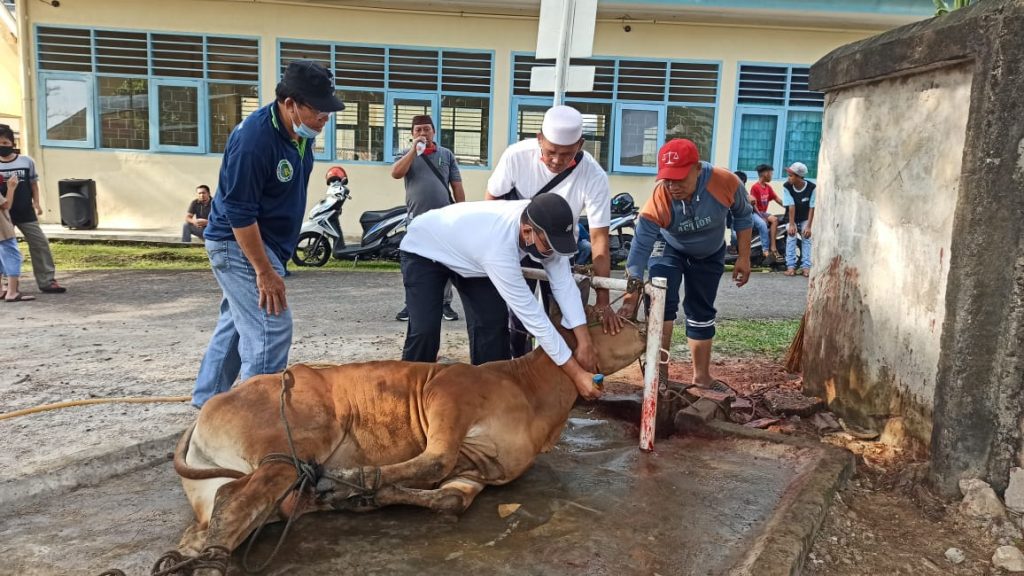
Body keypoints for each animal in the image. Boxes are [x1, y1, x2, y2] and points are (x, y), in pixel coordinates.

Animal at [172, 307, 643, 561]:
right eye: (609, 319)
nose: (639, 320)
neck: (532, 394)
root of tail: (215, 403)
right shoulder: (447, 395)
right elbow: (433, 460)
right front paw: (355, 484)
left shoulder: (481, 469)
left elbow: (450, 497)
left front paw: (364, 497)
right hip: (296, 442)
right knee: (239, 498)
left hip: (225, 489)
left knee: (218, 518)